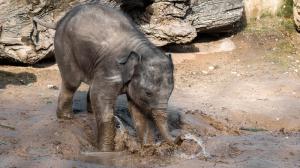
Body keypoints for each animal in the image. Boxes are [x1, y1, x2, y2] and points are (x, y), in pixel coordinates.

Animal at [34, 1, 177, 151]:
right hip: (65, 48)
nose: (178, 140)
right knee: (71, 83)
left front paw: (148, 147)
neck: (140, 49)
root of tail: (61, 20)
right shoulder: (111, 68)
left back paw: (90, 113)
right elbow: (100, 96)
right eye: (148, 93)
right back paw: (66, 118)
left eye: (170, 93)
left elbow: (136, 109)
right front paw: (105, 151)